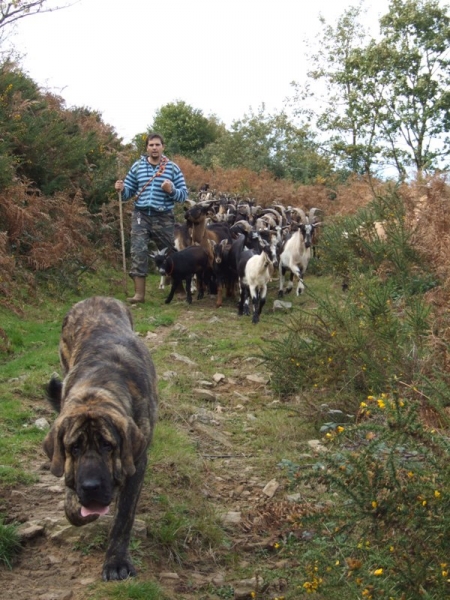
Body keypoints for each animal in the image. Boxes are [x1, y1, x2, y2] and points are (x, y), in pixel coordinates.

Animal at [42, 296, 158, 580]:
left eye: (108, 446)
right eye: (73, 448)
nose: (91, 487)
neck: (100, 386)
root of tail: (95, 298)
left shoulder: (136, 462)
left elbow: (123, 517)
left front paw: (116, 561)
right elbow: (72, 505)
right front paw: (77, 504)